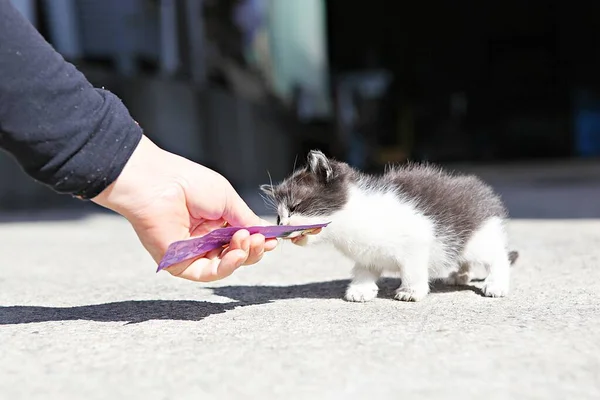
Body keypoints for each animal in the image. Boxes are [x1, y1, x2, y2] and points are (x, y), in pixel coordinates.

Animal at [260, 151, 516, 304]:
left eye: (295, 207)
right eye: (278, 218)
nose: (283, 226)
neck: (353, 217)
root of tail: (481, 192)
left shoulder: (417, 237)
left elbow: (412, 268)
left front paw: (410, 291)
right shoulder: (366, 253)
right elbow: (364, 268)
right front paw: (361, 289)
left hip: (478, 236)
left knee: (497, 256)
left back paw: (496, 283)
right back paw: (460, 275)